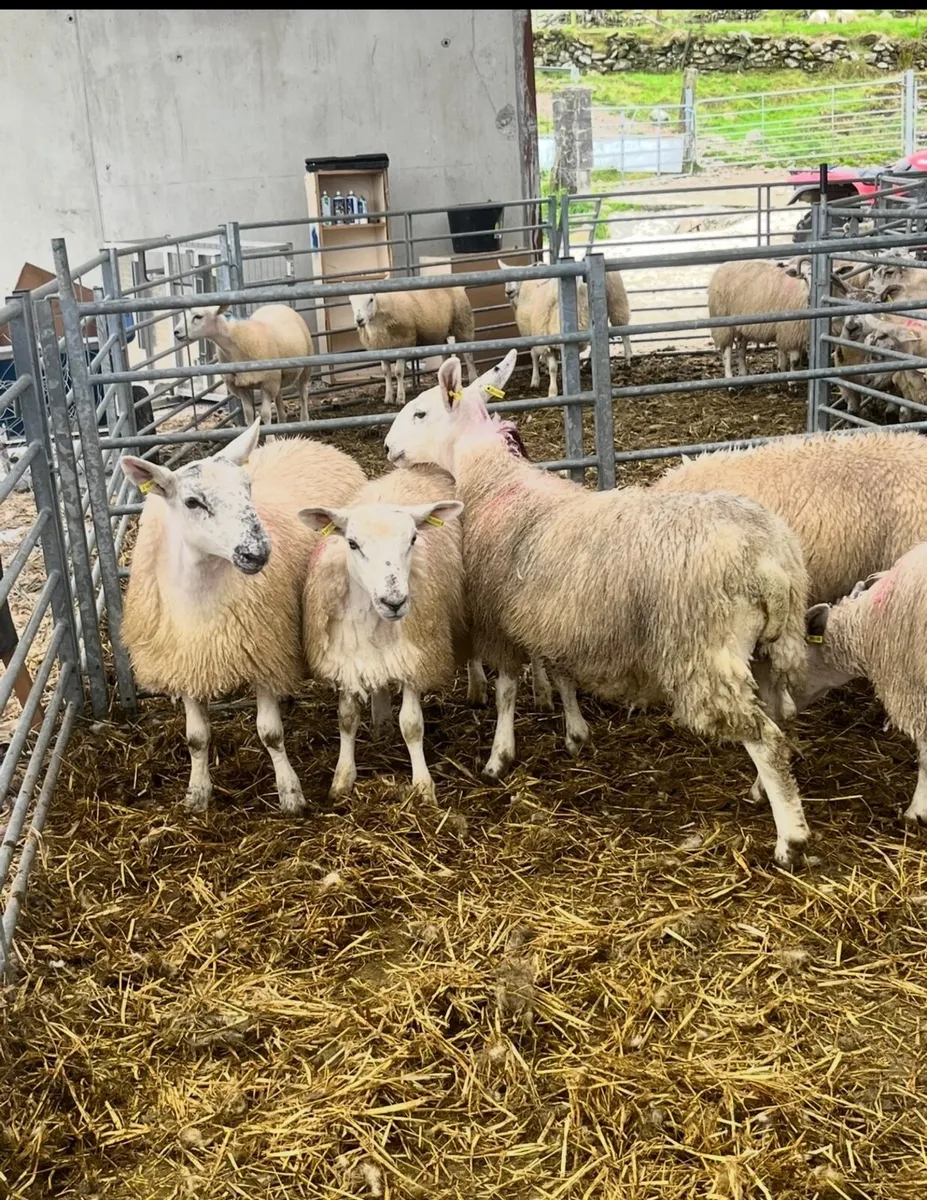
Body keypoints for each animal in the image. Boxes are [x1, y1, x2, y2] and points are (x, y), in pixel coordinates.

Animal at [119, 419, 366, 815]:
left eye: (248, 489)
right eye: (192, 501)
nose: (257, 552)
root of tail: (305, 440)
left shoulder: (263, 651)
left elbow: (270, 733)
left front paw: (291, 794)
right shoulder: (185, 660)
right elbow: (196, 738)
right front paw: (197, 795)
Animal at [173, 304, 314, 426]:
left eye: (198, 316)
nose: (176, 332)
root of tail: (278, 305)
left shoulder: (266, 383)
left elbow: (265, 414)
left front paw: (270, 439)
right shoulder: (240, 385)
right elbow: (248, 413)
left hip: (304, 367)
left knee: (303, 394)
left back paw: (304, 420)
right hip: (276, 376)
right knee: (279, 396)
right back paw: (282, 422)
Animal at [300, 465, 466, 800]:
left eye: (413, 538)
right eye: (352, 543)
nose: (395, 601)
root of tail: (420, 467)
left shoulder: (414, 657)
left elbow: (412, 725)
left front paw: (423, 786)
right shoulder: (347, 660)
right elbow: (347, 719)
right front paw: (342, 779)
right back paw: (381, 723)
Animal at [498, 263, 590, 398]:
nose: (508, 292)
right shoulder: (548, 343)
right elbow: (553, 368)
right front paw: (552, 392)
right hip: (532, 334)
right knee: (533, 355)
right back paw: (535, 381)